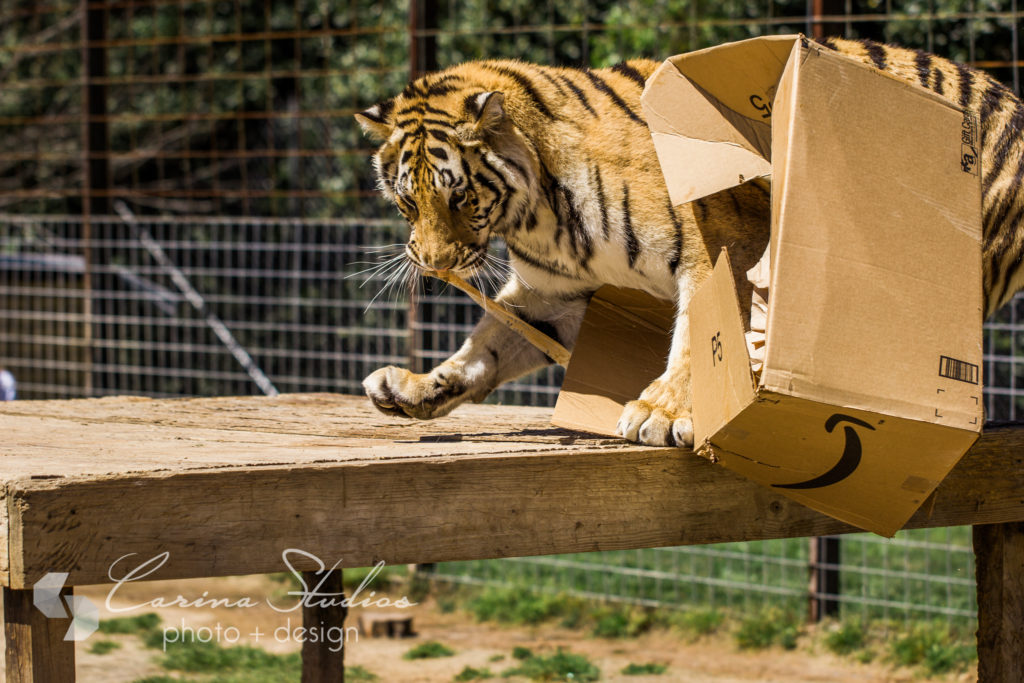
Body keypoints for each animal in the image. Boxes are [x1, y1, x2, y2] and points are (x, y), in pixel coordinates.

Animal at [354, 36, 1024, 448]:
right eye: (408, 201)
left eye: (460, 198)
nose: (434, 266)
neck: (535, 215)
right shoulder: (559, 297)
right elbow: (487, 344)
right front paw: (417, 386)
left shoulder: (720, 243)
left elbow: (699, 336)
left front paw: (664, 412)